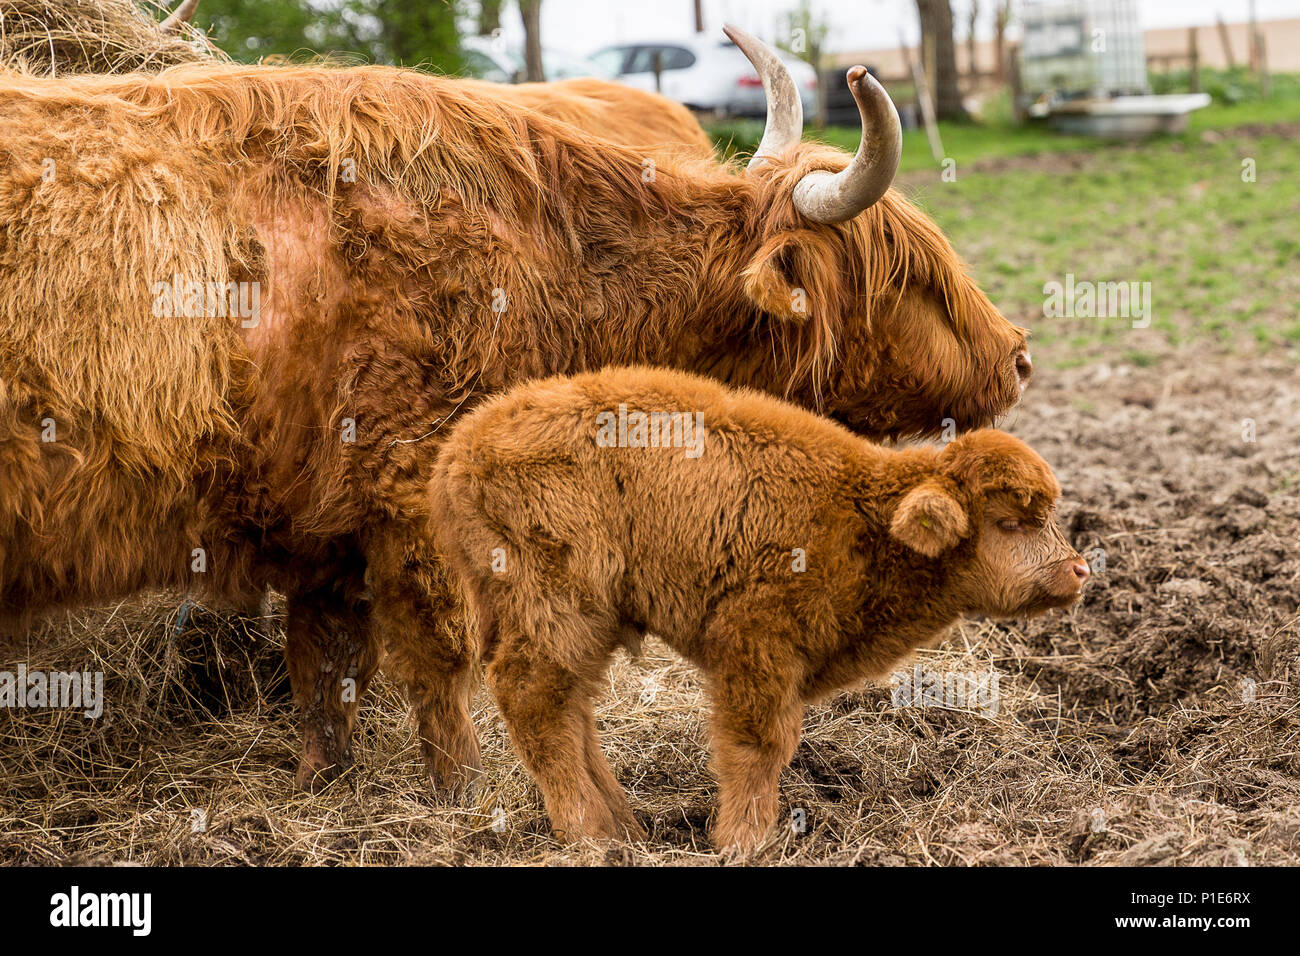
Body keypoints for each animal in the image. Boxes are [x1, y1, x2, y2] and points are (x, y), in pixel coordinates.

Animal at [0, 27, 1031, 796]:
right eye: (909, 281)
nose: (1020, 356)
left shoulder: (326, 531)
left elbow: (327, 671)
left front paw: (322, 785)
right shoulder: (415, 497)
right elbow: (439, 664)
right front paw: (462, 796)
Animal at [432, 366, 1087, 848]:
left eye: (1049, 514)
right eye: (1010, 522)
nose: (1079, 570)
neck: (864, 518)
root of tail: (459, 450)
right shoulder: (756, 648)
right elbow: (758, 747)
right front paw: (743, 841)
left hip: (579, 622)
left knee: (572, 705)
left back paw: (625, 823)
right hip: (557, 610)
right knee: (537, 700)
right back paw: (592, 834)